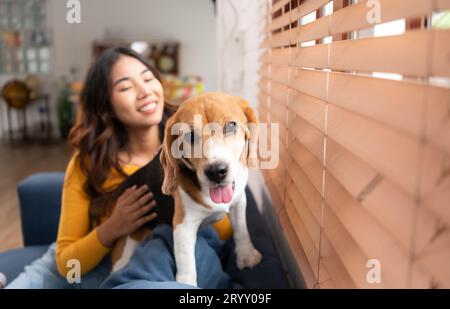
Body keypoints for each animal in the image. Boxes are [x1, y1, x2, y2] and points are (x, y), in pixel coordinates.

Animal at [160, 92, 262, 286]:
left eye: (231, 125)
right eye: (190, 136)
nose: (216, 171)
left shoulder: (239, 202)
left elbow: (242, 230)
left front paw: (246, 254)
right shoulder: (183, 225)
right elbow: (186, 260)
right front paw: (186, 284)